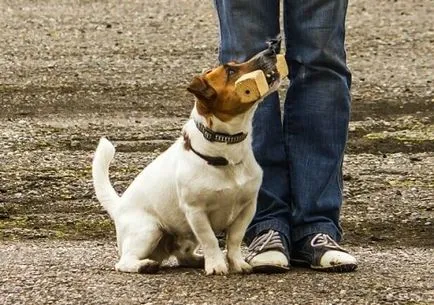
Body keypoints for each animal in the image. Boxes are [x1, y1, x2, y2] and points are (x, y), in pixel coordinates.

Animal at [92, 45, 284, 276]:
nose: (272, 48)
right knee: (123, 262)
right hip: (148, 230)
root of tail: (119, 206)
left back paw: (198, 260)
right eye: (230, 71)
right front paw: (217, 265)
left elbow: (234, 240)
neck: (226, 150)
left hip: (184, 237)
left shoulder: (247, 207)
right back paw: (144, 265)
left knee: (183, 256)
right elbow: (210, 240)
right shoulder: (196, 212)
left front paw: (236, 263)